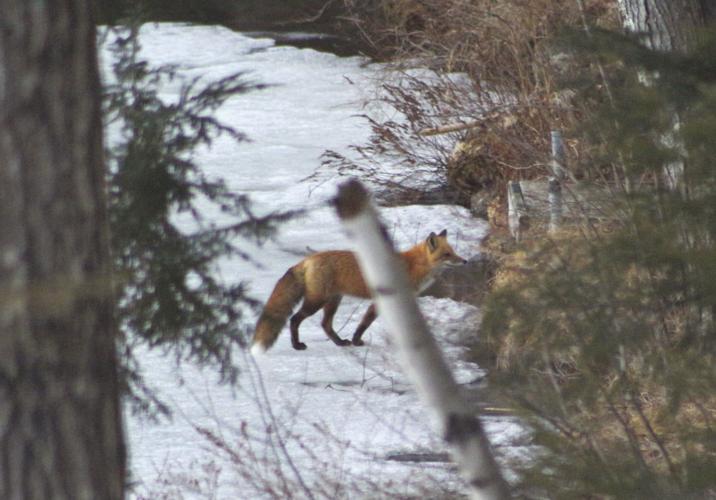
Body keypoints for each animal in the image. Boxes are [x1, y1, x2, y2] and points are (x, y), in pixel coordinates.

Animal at [250, 229, 467, 354]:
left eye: (454, 251)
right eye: (447, 254)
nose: (465, 261)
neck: (412, 266)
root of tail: (308, 259)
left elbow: (367, 321)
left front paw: (354, 340)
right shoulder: (384, 300)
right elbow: (366, 322)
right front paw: (357, 340)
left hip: (333, 300)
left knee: (325, 324)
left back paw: (339, 342)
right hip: (317, 301)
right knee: (295, 319)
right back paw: (297, 345)